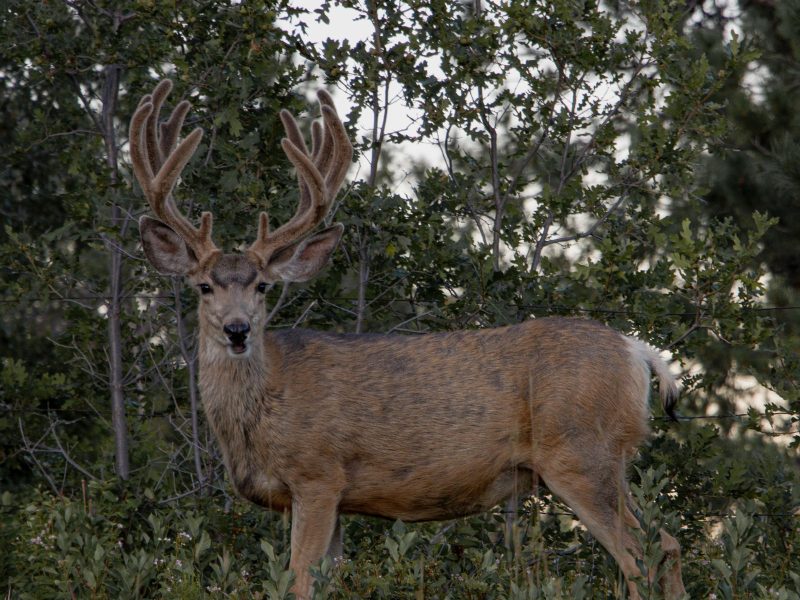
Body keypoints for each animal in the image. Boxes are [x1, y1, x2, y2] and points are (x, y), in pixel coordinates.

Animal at [129, 79, 686, 599]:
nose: (237, 329)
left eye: (263, 286)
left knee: (641, 554)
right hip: (605, 457)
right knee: (668, 543)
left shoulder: (318, 474)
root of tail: (636, 351)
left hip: (581, 450)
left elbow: (298, 581)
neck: (263, 411)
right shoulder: (333, 498)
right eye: (204, 286)